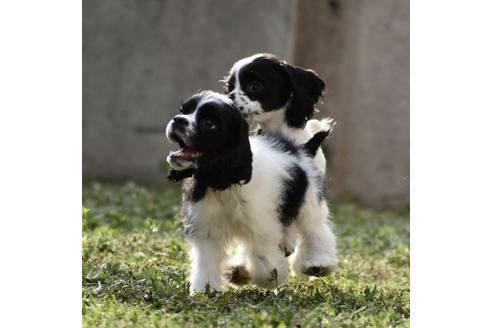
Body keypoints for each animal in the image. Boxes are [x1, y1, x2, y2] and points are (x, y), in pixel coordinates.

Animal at [165, 90, 338, 294]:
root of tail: (302, 149)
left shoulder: (262, 225)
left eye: (210, 123)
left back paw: (318, 263)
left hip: (308, 202)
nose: (177, 120)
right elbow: (206, 261)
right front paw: (205, 290)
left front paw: (272, 278)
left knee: (317, 230)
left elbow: (264, 259)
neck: (223, 181)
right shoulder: (207, 227)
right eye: (183, 111)